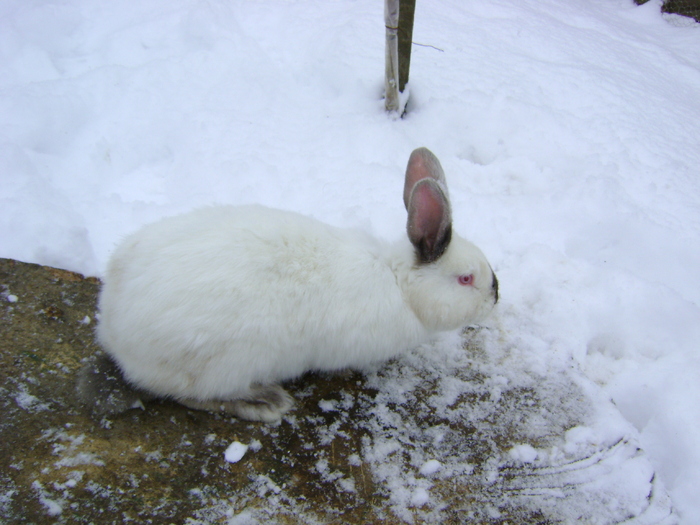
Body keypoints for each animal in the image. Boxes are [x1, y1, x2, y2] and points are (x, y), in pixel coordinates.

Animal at [94, 147, 498, 422]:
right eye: (466, 279)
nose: (496, 297)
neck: (400, 284)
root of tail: (113, 327)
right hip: (227, 364)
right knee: (193, 395)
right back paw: (264, 402)